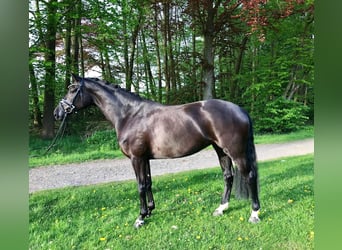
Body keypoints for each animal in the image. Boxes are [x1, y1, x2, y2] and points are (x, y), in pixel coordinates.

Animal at [54, 73, 262, 227]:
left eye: (72, 89)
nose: (57, 113)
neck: (130, 115)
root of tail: (240, 110)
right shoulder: (145, 158)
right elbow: (148, 183)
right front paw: (150, 211)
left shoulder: (136, 158)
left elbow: (140, 185)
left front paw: (140, 218)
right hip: (220, 150)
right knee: (228, 176)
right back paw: (221, 209)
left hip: (236, 152)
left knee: (250, 176)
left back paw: (254, 214)